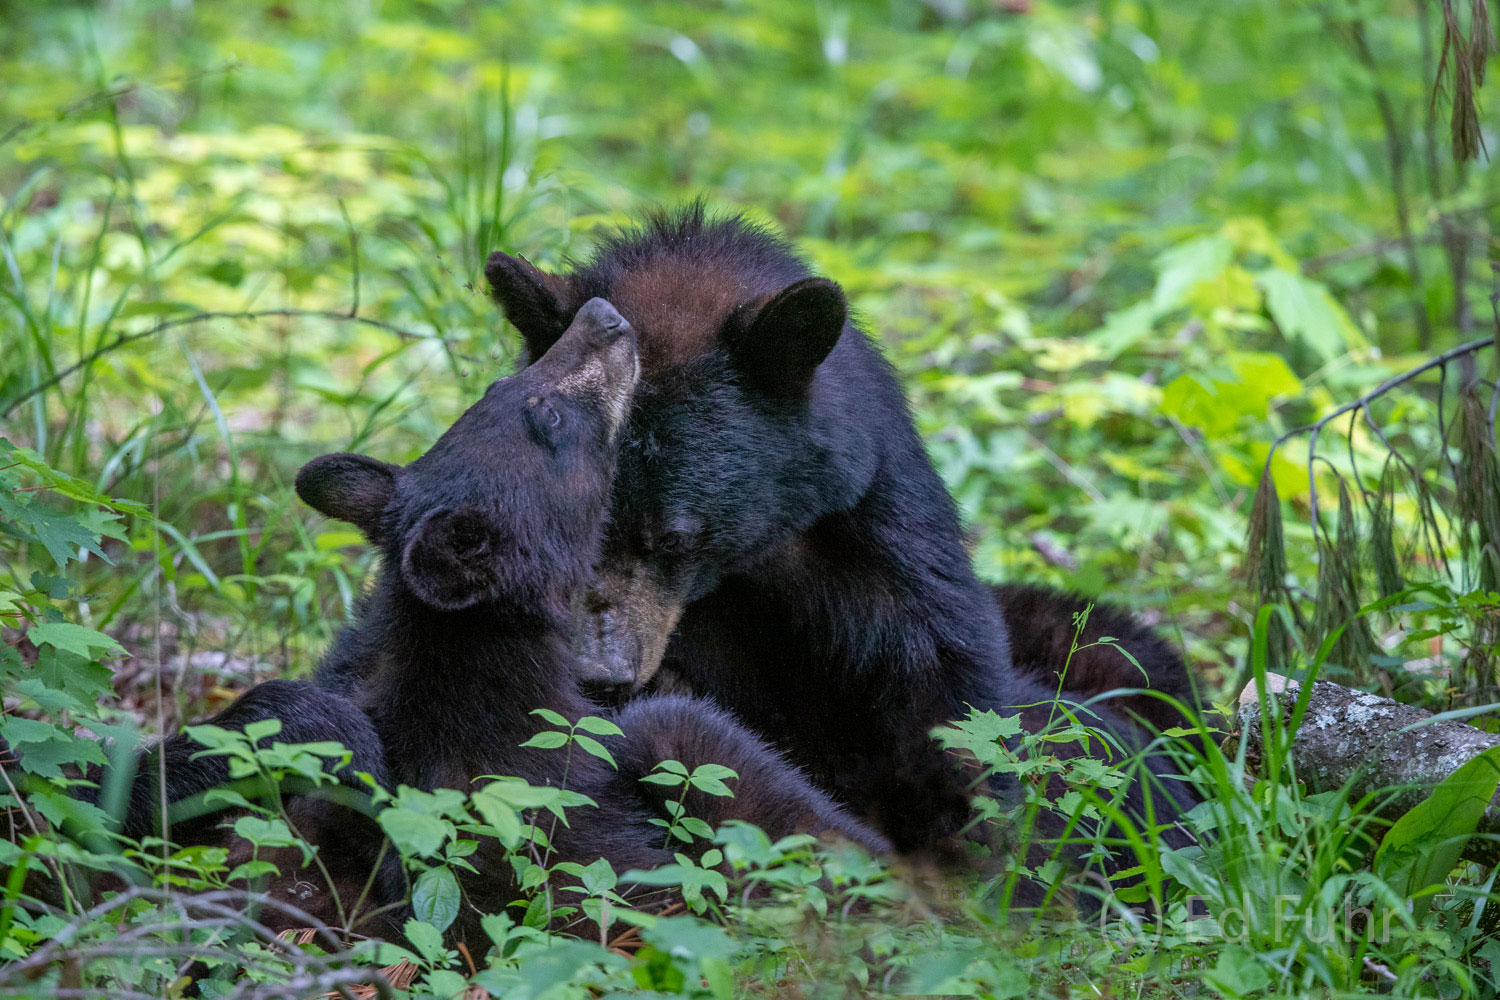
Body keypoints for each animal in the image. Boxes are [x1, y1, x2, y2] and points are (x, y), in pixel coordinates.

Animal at [483, 206, 1194, 863]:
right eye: (561, 530)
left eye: (676, 537)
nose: (601, 675)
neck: (754, 565)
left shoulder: (874, 559)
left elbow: (951, 715)